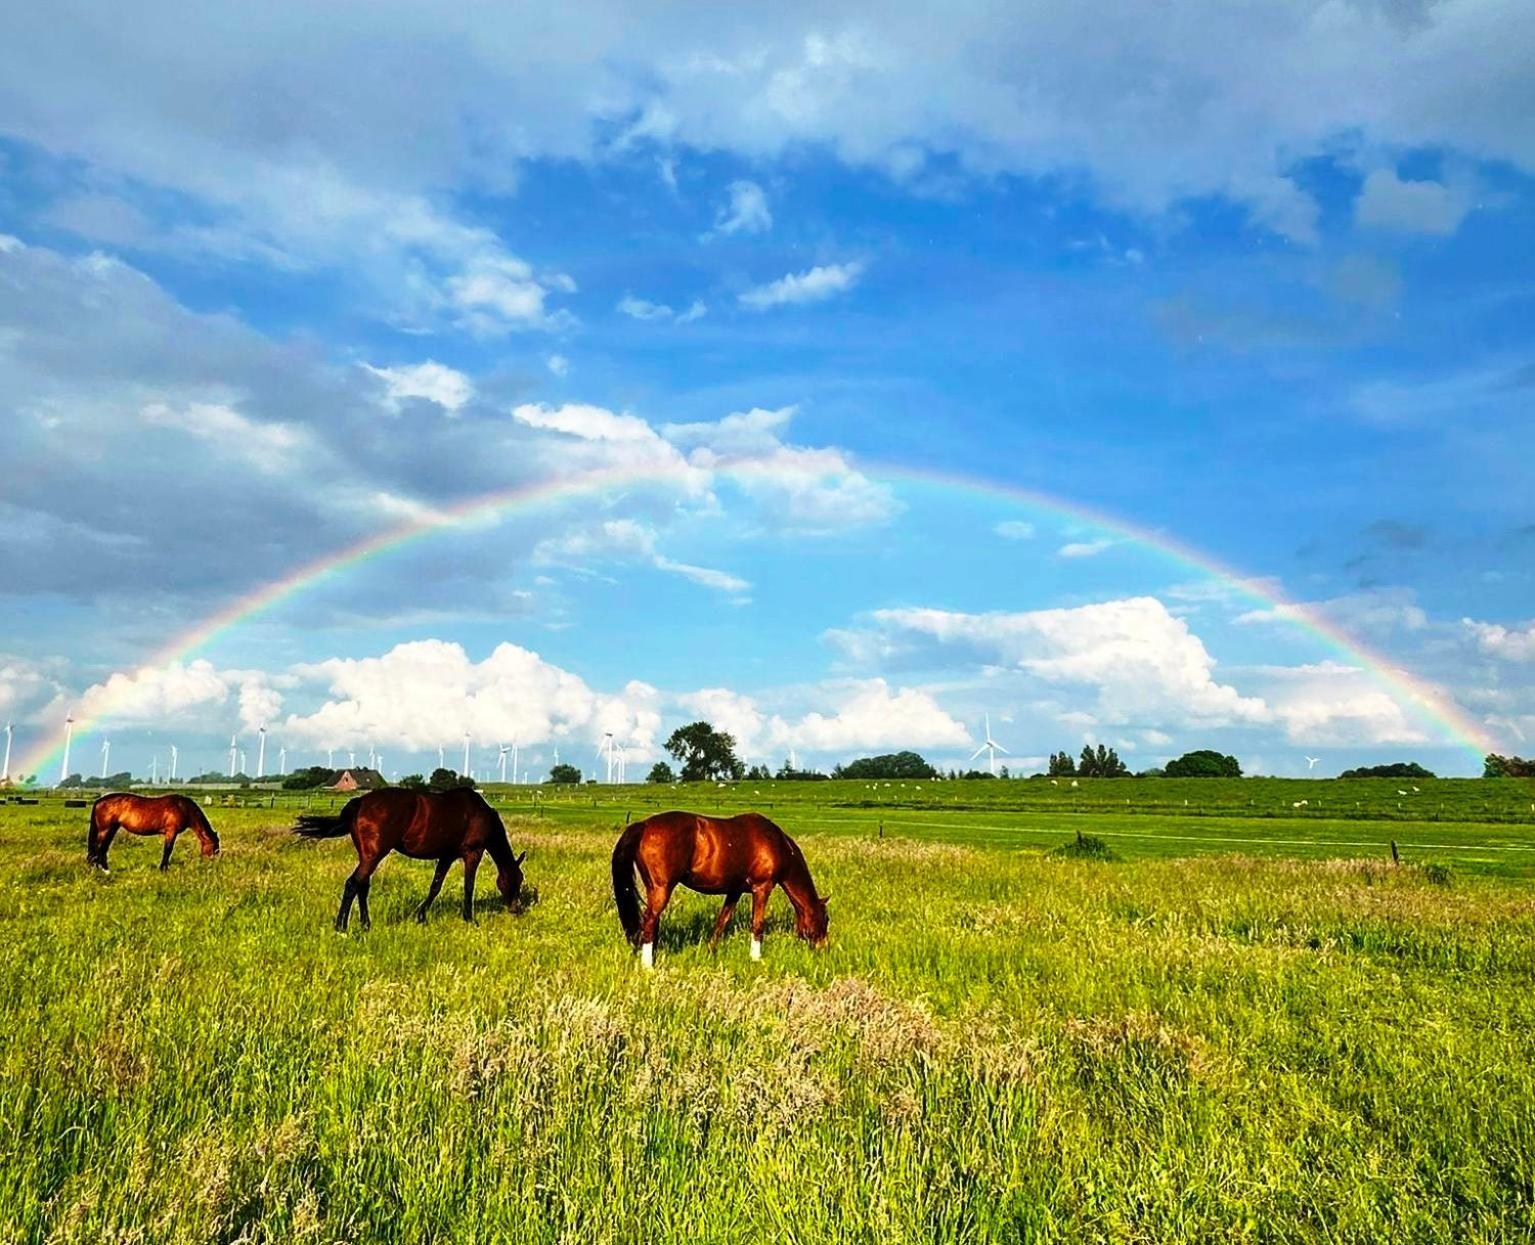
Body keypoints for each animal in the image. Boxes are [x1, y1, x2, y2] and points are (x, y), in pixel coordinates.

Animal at [86, 792, 219, 871]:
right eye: (215, 847)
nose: (212, 865)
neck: (183, 808)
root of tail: (99, 801)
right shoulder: (171, 832)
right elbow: (168, 850)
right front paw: (163, 869)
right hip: (105, 830)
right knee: (98, 848)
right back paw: (99, 869)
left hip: (112, 828)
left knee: (103, 849)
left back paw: (105, 869)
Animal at [293, 785, 528, 933]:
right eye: (517, 879)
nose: (516, 909)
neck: (478, 812)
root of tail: (361, 802)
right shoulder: (473, 852)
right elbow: (468, 886)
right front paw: (469, 918)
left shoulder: (447, 855)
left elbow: (435, 886)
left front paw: (421, 917)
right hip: (373, 855)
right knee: (353, 884)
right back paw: (341, 927)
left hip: (367, 856)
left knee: (362, 886)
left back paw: (365, 924)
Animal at [610, 810, 828, 976]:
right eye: (826, 919)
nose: (824, 949)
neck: (776, 844)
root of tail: (644, 825)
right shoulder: (762, 888)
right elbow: (757, 924)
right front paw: (756, 958)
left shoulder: (734, 891)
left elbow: (722, 921)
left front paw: (710, 951)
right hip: (661, 889)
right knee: (649, 921)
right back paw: (648, 966)